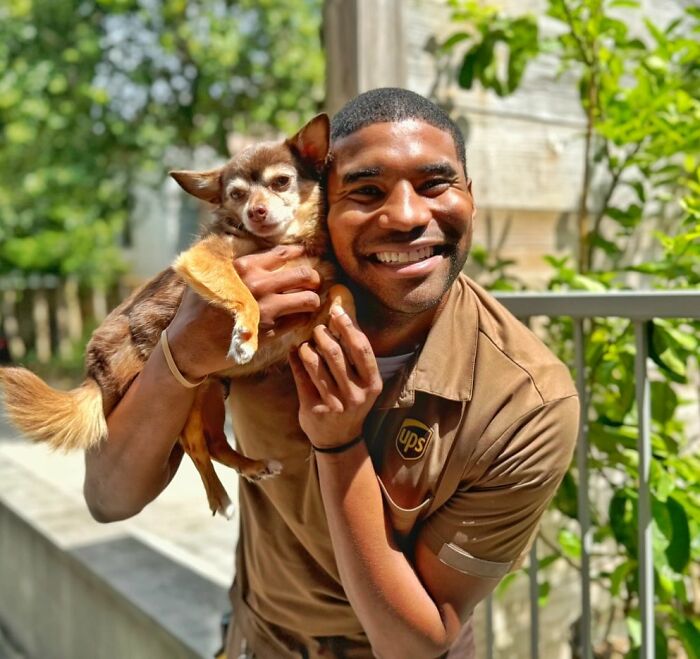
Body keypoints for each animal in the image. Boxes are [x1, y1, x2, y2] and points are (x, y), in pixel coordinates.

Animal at [0, 114, 352, 520]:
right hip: (176, 395)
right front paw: (246, 334)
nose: (256, 211)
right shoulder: (203, 259)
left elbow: (340, 293)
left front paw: (345, 321)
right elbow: (244, 292)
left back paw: (249, 467)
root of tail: (93, 370)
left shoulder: (305, 309)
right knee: (194, 442)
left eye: (281, 181)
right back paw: (220, 497)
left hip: (209, 391)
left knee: (213, 442)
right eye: (236, 195)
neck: (283, 242)